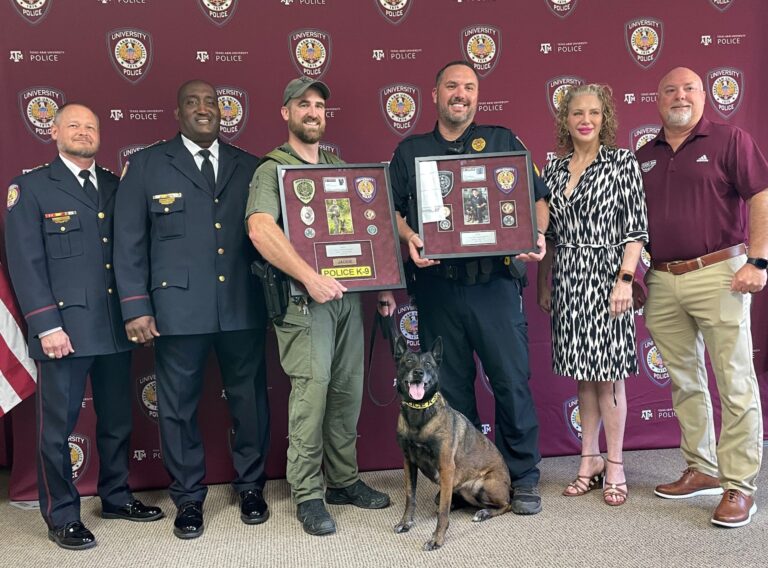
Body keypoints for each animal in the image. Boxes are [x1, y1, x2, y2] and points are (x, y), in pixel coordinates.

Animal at [392, 338, 512, 552]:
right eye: (408, 361)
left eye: (428, 364)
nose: (418, 373)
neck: (419, 412)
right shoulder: (408, 462)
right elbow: (410, 497)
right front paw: (406, 523)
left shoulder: (446, 467)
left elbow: (442, 512)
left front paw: (437, 539)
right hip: (466, 490)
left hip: (484, 485)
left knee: (507, 505)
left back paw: (484, 513)